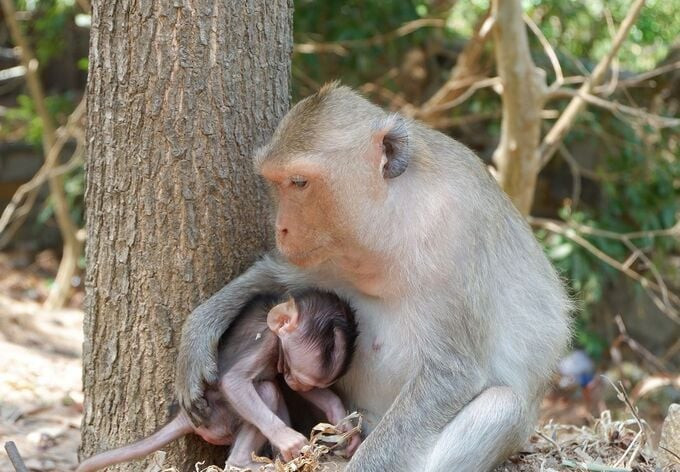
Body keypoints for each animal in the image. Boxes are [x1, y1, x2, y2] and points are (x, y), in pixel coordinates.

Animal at [75, 288, 362, 472]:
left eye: (304, 381)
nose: (295, 382)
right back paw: (244, 463)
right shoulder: (267, 343)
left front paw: (343, 424)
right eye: (294, 372)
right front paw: (289, 440)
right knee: (267, 391)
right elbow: (234, 382)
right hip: (217, 419)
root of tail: (184, 415)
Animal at [174, 83, 568, 470]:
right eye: (277, 182)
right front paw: (198, 334)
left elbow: (451, 374)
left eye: (299, 182)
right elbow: (279, 276)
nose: (281, 228)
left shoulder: (455, 233)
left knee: (501, 406)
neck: (395, 223)